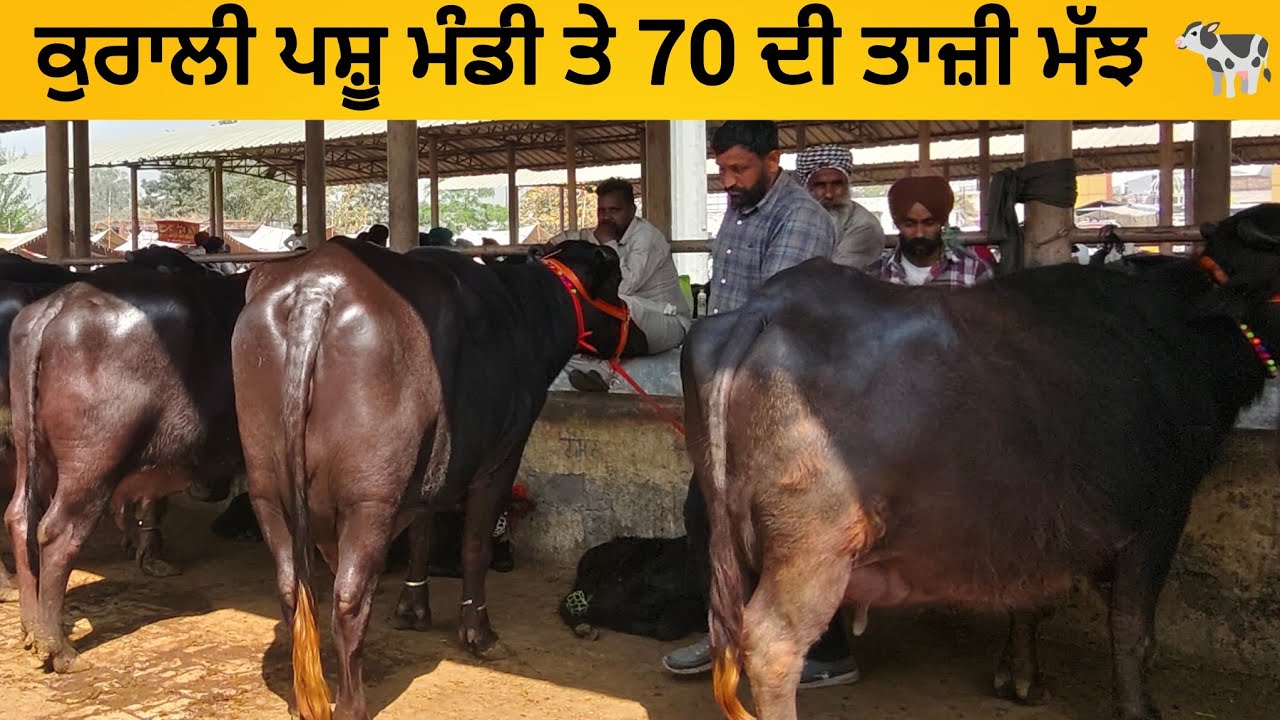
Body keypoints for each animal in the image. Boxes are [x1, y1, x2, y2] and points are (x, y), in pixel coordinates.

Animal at [4, 254, 249, 673]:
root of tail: (58, 305)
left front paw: (151, 556)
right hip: (94, 459)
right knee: (57, 532)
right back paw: (58, 649)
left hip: (30, 448)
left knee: (21, 516)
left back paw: (30, 630)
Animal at [231, 237, 630, 720]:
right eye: (616, 278)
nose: (636, 329)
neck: (524, 312)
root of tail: (315, 289)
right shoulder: (500, 459)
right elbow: (474, 547)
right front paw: (480, 634)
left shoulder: (426, 474)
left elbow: (422, 532)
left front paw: (412, 608)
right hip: (370, 499)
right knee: (349, 598)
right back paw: (351, 703)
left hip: (268, 493)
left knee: (292, 588)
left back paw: (302, 694)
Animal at [684, 203, 1280, 720]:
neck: (1180, 333)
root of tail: (766, 309)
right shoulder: (1161, 512)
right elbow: (1132, 625)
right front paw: (1137, 708)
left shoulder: (1032, 525)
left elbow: (1029, 597)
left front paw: (1020, 678)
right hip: (815, 545)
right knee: (773, 645)